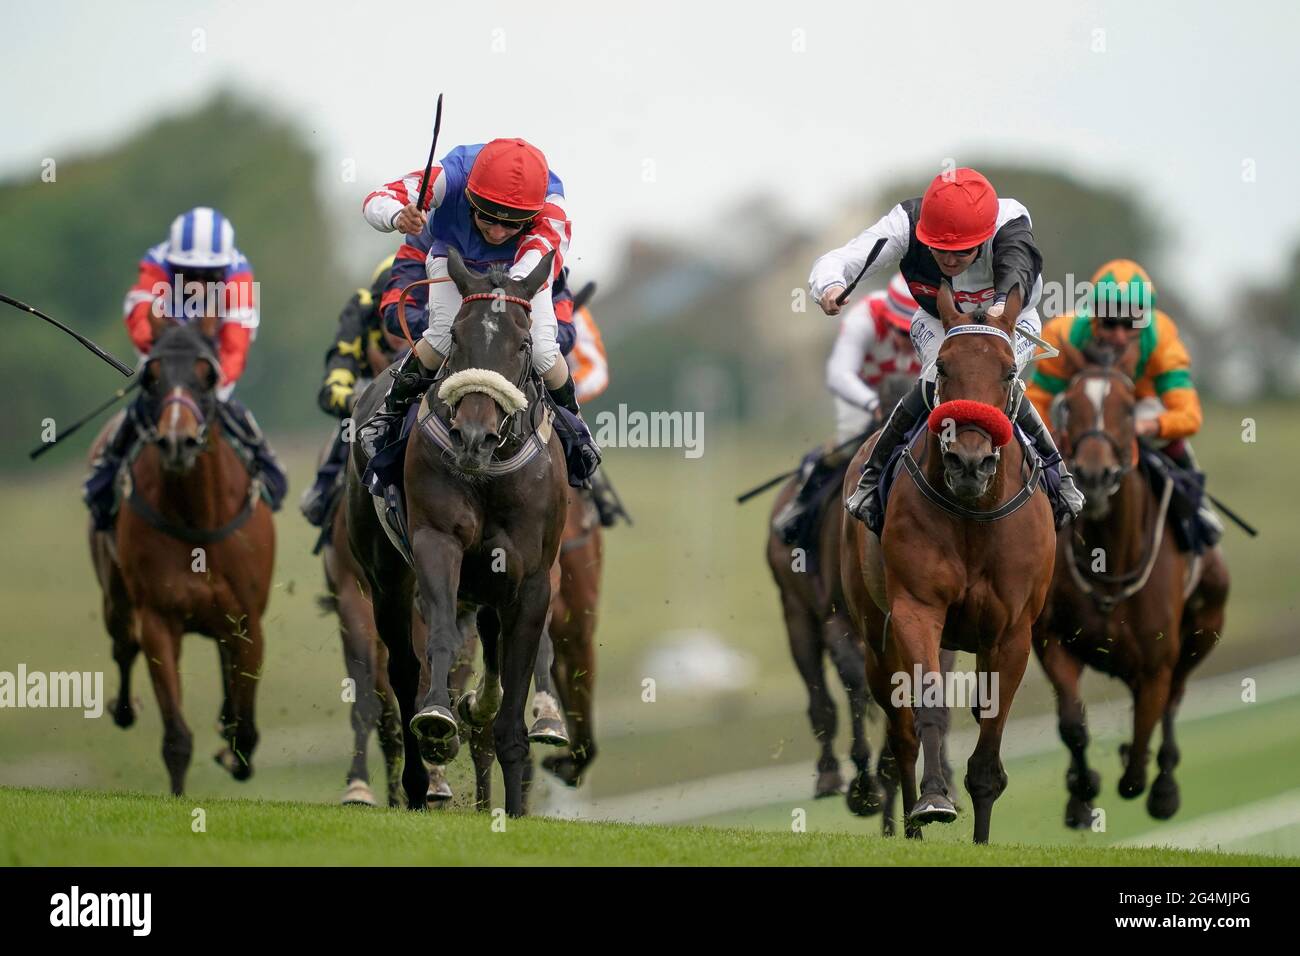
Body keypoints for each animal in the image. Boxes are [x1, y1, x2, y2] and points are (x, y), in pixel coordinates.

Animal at [91, 325, 276, 796]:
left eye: (206, 376)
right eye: (152, 376)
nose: (178, 440)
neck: (197, 518)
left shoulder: (248, 620)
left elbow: (247, 728)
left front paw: (233, 748)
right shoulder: (158, 618)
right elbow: (176, 736)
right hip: (116, 598)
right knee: (123, 646)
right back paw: (124, 707)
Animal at [348, 248, 566, 816]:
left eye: (523, 345)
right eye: (457, 339)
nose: (472, 436)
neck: (489, 473)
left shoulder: (532, 578)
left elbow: (515, 678)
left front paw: (514, 806)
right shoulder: (437, 541)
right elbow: (441, 639)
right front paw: (438, 721)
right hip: (386, 581)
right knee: (403, 667)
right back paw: (419, 777)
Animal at [842, 286, 1055, 842]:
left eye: (1008, 371)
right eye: (942, 366)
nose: (969, 462)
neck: (973, 514)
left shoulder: (1011, 633)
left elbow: (989, 740)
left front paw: (980, 836)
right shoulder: (917, 610)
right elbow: (929, 709)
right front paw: (934, 799)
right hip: (878, 637)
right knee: (900, 734)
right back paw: (910, 828)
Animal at [1034, 345, 1227, 832]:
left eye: (1126, 409)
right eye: (1070, 406)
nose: (1094, 474)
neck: (1109, 565)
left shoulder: (1157, 664)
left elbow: (1141, 746)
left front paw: (1143, 777)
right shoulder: (1052, 640)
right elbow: (1073, 723)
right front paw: (1081, 793)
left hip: (1204, 630)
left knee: (1174, 701)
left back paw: (1165, 787)